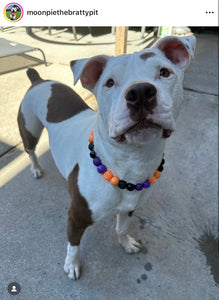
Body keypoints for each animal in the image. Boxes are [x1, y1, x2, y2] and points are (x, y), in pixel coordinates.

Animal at [17, 34, 195, 278]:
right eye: (109, 83)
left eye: (164, 72)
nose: (140, 92)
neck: (131, 162)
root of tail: (38, 79)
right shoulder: (76, 217)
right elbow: (73, 245)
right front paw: (72, 265)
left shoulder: (129, 208)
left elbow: (121, 228)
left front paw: (126, 243)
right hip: (30, 129)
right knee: (31, 150)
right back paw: (35, 168)